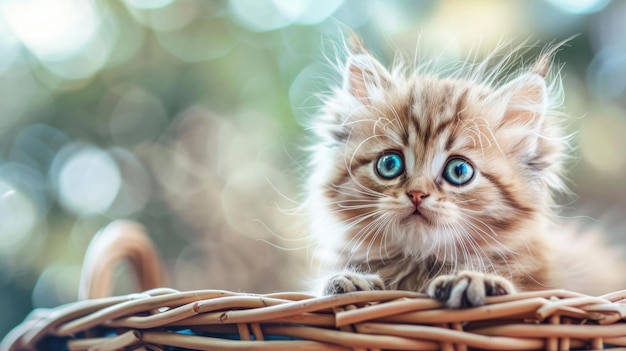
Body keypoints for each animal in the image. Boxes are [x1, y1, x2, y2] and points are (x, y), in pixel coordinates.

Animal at [306, 33, 624, 308]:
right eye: (389, 165)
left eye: (459, 170)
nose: (417, 194)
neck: (419, 266)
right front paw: (346, 281)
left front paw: (476, 280)